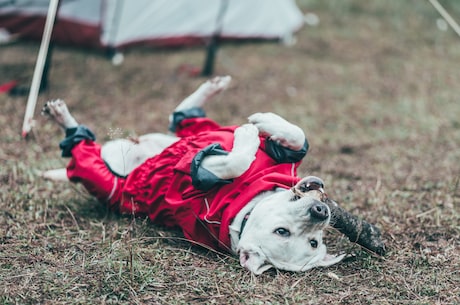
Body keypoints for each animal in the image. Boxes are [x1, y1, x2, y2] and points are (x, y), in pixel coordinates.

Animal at [42, 75, 344, 274]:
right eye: (282, 231)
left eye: (313, 241)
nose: (320, 211)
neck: (246, 205)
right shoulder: (277, 155)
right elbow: (296, 136)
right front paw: (259, 125)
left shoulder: (189, 184)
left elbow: (233, 161)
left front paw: (247, 135)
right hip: (194, 129)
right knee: (183, 116)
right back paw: (214, 87)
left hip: (104, 179)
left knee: (81, 147)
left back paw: (62, 116)